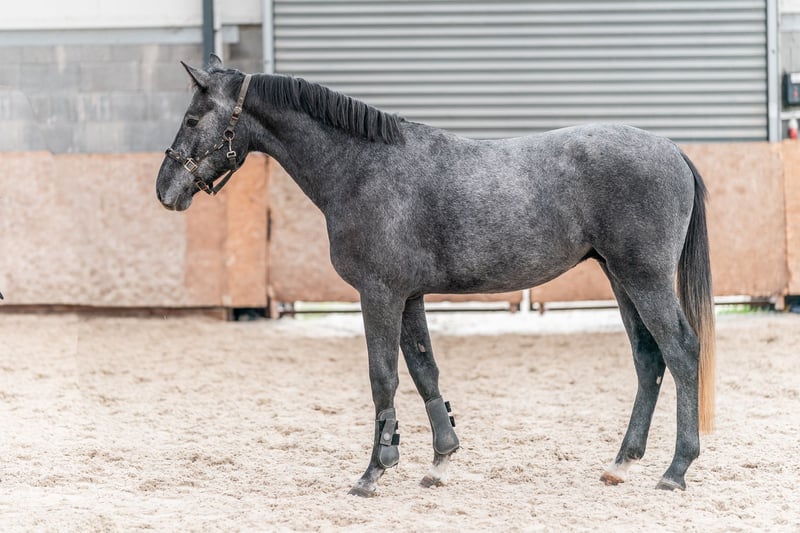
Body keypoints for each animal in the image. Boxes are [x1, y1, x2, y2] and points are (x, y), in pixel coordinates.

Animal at [156, 55, 715, 497]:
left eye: (192, 117)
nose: (165, 190)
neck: (363, 167)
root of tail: (672, 150)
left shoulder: (379, 294)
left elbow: (383, 376)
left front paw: (374, 471)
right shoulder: (410, 296)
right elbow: (425, 370)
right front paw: (441, 460)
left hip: (644, 278)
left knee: (682, 351)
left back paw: (676, 469)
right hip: (621, 278)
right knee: (649, 358)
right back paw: (622, 463)